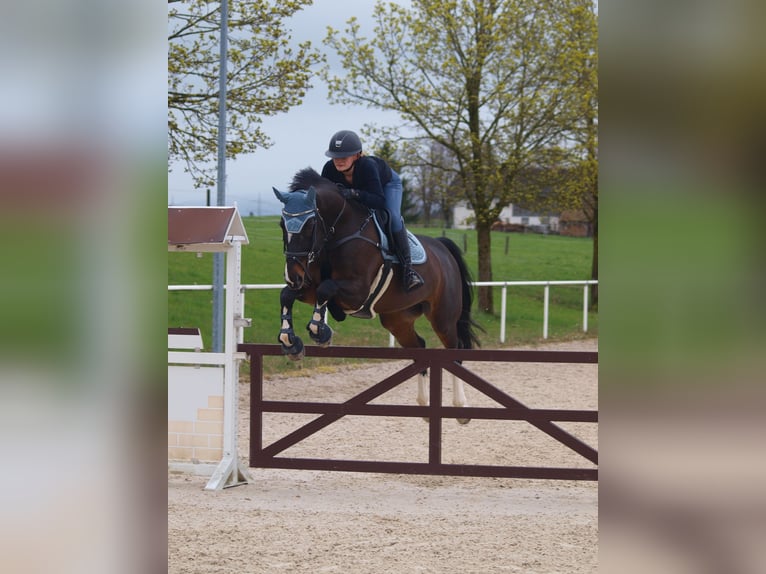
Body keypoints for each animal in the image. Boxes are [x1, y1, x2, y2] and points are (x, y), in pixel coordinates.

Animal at [272, 166, 484, 424]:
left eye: (310, 226)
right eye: (282, 225)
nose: (293, 275)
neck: (337, 232)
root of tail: (442, 248)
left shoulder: (357, 292)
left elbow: (326, 289)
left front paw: (320, 332)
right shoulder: (308, 287)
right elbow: (287, 296)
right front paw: (289, 341)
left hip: (443, 318)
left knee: (455, 350)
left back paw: (461, 408)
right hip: (398, 320)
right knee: (420, 347)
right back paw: (424, 406)